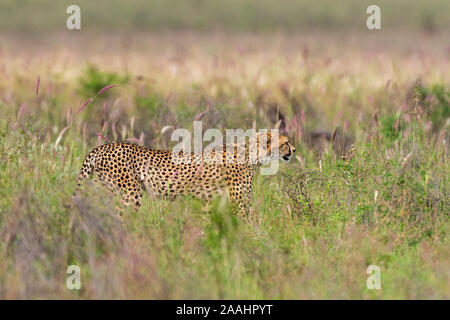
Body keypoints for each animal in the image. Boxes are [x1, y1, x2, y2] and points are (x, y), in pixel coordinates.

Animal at [76, 130, 296, 215]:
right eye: (285, 142)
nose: (294, 150)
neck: (250, 153)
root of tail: (102, 147)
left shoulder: (209, 201)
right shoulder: (239, 204)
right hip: (130, 194)